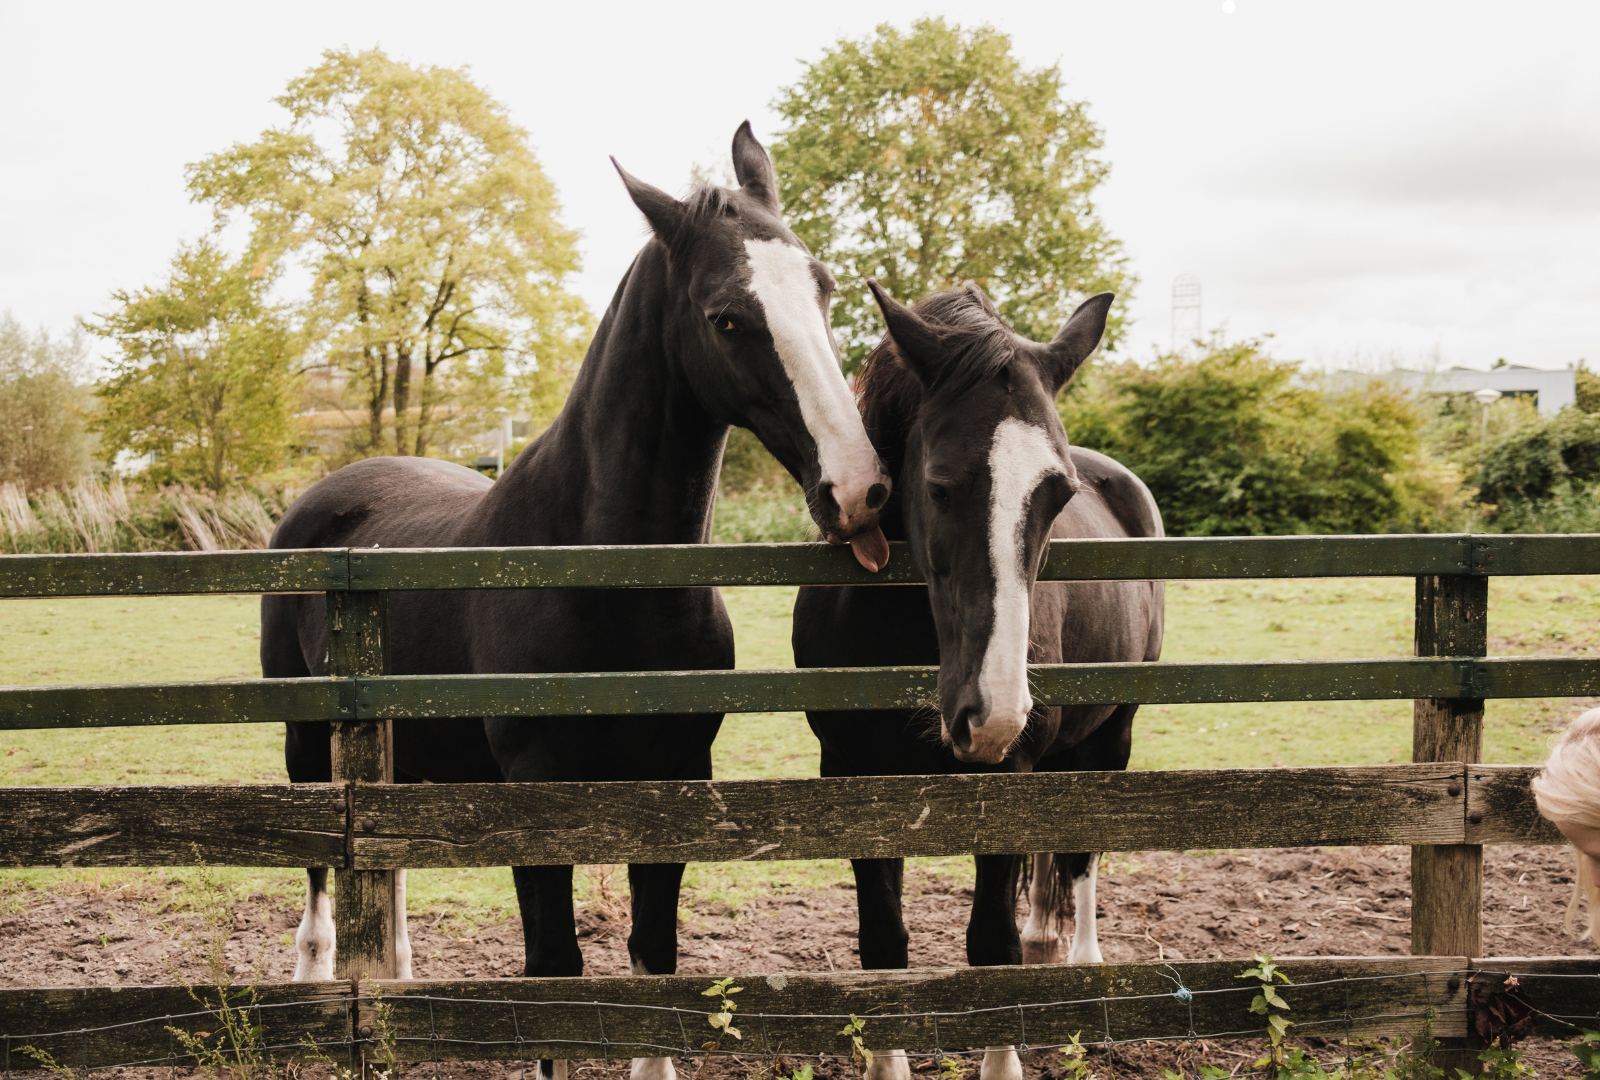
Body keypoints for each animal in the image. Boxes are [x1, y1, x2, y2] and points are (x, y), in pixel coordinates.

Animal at [263, 123, 893, 1080]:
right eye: (728, 318)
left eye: (821, 288)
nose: (858, 489)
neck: (605, 573)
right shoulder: (536, 790)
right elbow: (552, 974)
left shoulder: (675, 774)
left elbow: (652, 956)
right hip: (306, 744)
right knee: (318, 873)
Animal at [791, 283, 1165, 1080]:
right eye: (937, 487)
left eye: (1058, 494)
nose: (990, 714)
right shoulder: (851, 776)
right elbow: (883, 944)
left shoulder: (1010, 769)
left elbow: (990, 947)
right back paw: (1045, 938)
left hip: (1113, 732)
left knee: (1082, 854)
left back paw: (1081, 964)